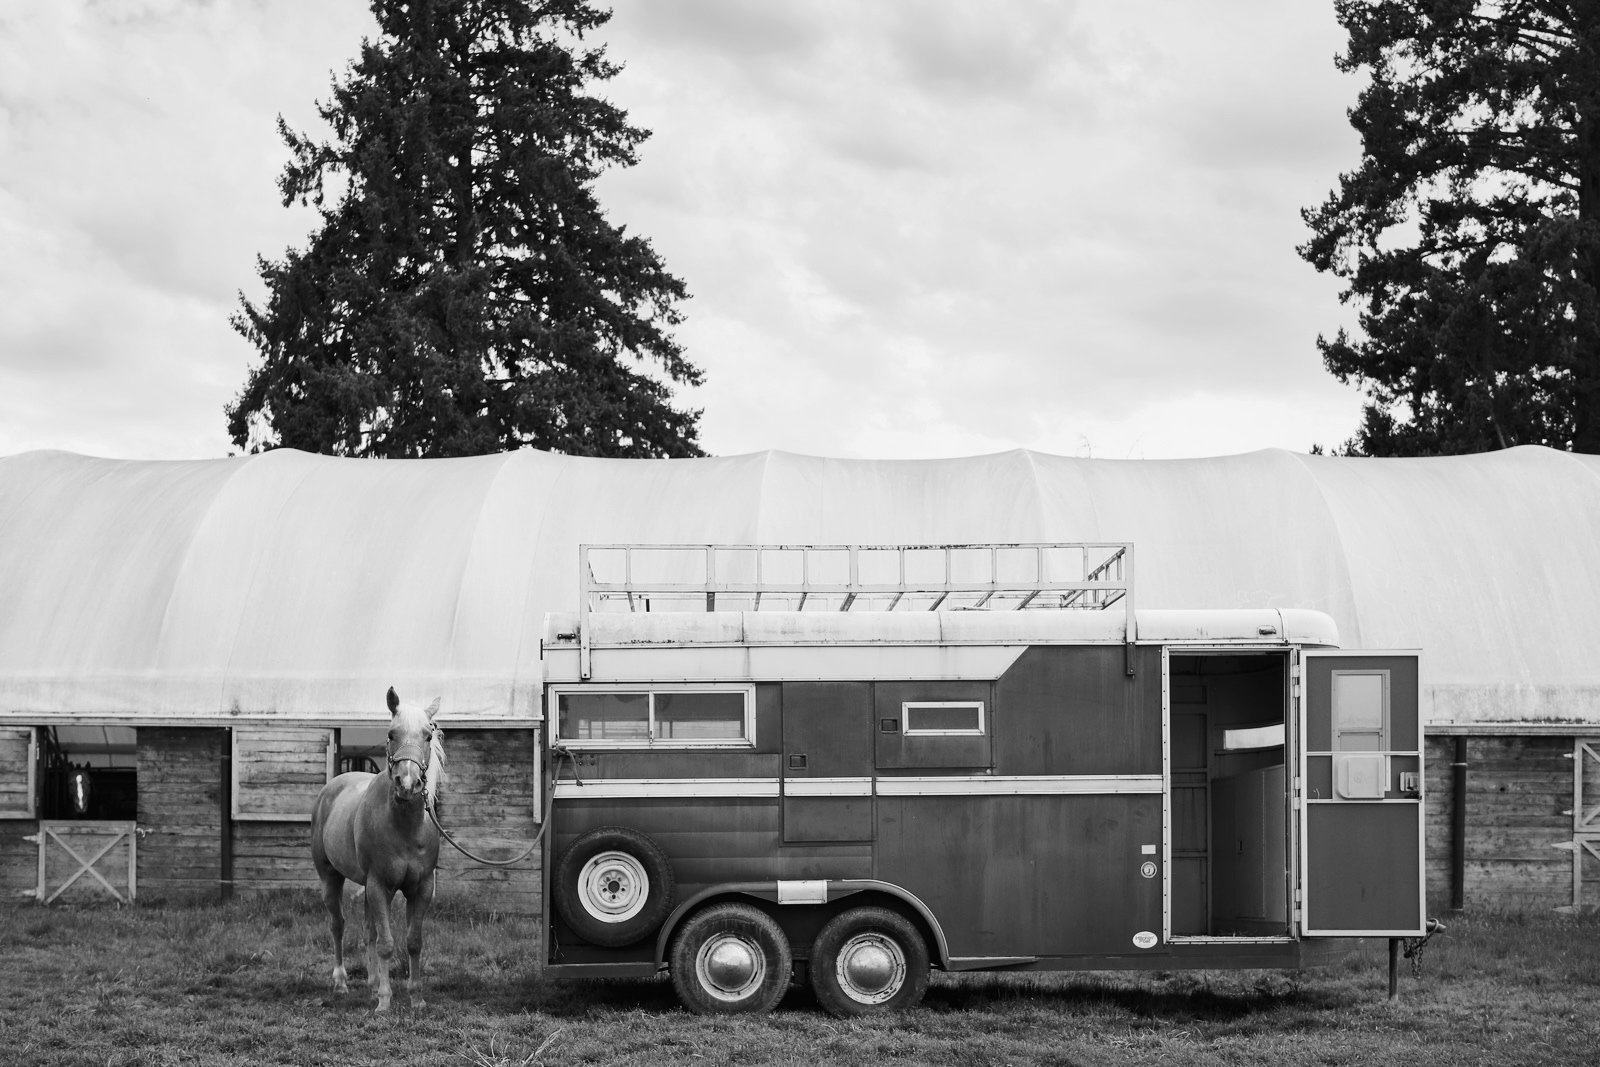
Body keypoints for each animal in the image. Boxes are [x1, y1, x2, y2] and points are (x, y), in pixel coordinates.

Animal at [310, 687, 444, 1012]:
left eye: (428, 736)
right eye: (391, 734)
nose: (407, 783)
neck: (405, 828)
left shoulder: (421, 888)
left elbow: (413, 942)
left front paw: (416, 998)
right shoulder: (379, 884)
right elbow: (386, 944)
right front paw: (384, 1001)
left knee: (368, 929)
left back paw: (371, 983)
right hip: (331, 878)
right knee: (338, 925)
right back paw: (342, 982)